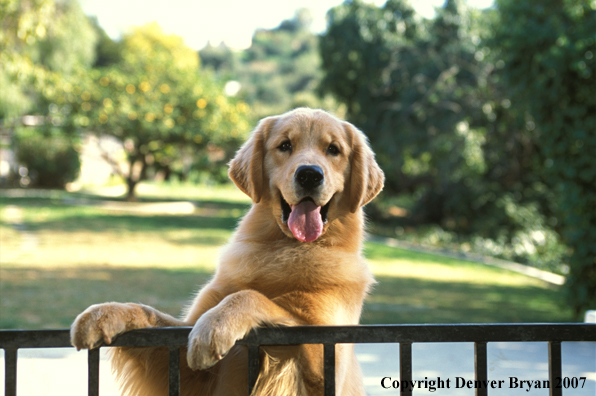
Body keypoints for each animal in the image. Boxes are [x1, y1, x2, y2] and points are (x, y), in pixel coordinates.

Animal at [71, 106, 386, 394]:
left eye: (333, 149)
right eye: (285, 145)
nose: (309, 174)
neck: (286, 249)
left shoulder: (328, 358)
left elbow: (253, 297)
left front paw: (216, 326)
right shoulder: (186, 363)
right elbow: (149, 312)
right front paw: (105, 312)